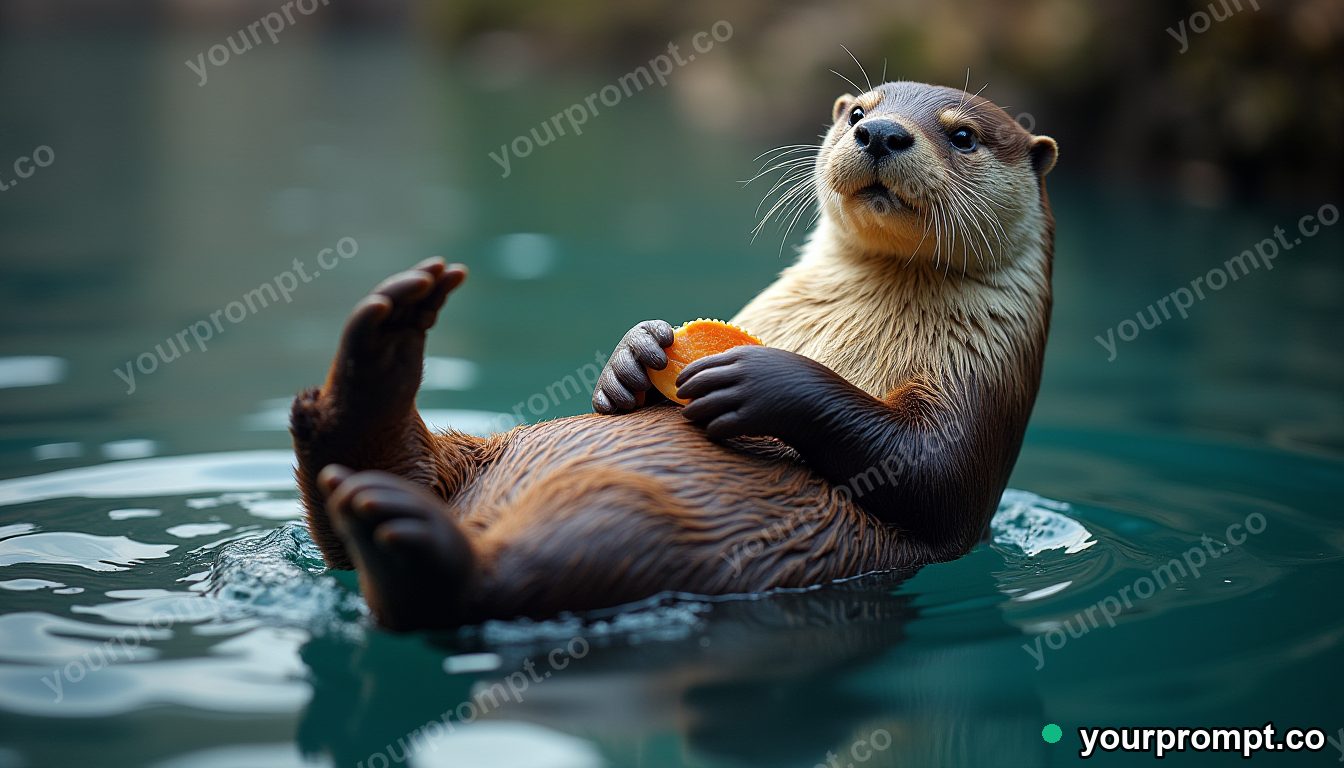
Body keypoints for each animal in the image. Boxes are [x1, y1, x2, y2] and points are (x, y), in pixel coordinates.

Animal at [289, 81, 1058, 631]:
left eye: (962, 135)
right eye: (859, 112)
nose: (881, 132)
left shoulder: (983, 393)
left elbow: (931, 471)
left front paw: (762, 379)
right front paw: (633, 356)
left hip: (644, 526)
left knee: (505, 579)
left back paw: (410, 542)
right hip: (478, 456)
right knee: (381, 464)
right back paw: (382, 350)